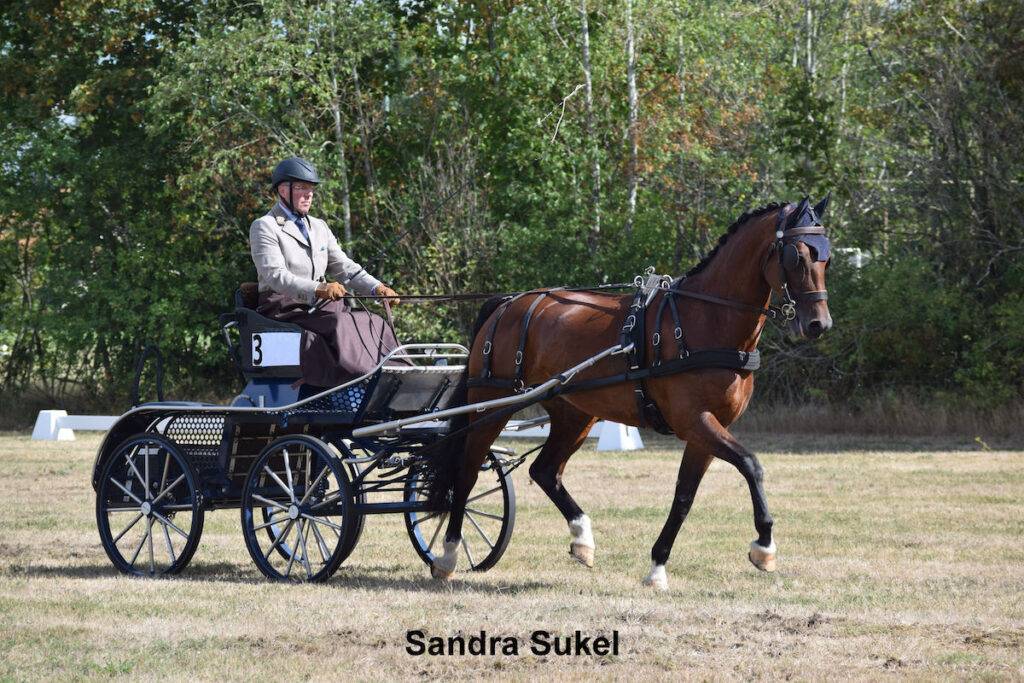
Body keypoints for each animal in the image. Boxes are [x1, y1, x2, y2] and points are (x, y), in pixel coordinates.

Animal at [429, 196, 833, 589]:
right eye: (796, 256)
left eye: (826, 256)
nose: (819, 324)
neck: (707, 320)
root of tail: (507, 303)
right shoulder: (695, 421)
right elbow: (751, 464)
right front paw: (764, 546)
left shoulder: (706, 430)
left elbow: (684, 497)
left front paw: (657, 568)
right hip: (489, 404)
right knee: (467, 471)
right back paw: (447, 555)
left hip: (574, 413)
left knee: (545, 470)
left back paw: (582, 539)